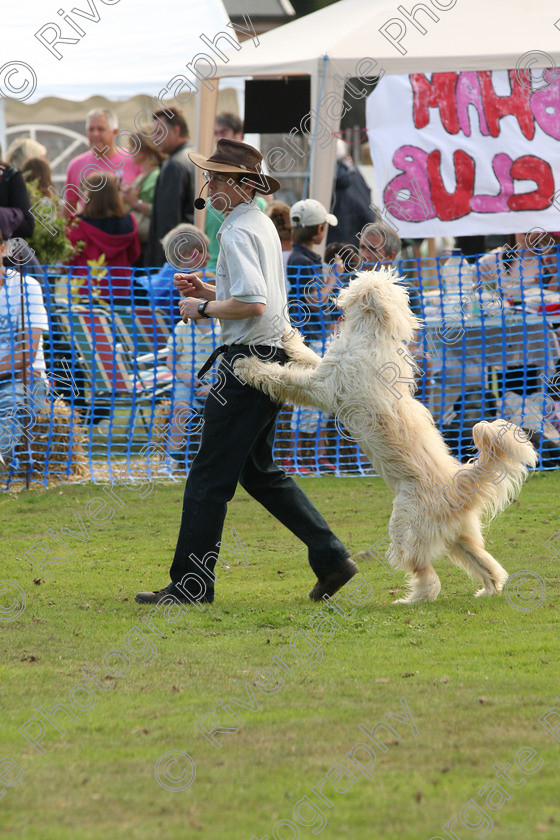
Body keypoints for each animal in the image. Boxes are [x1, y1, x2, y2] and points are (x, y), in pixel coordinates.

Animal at [235, 270, 540, 604]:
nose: (339, 284)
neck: (371, 334)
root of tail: (456, 487)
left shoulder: (321, 388)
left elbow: (285, 377)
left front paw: (248, 366)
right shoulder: (326, 368)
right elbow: (309, 355)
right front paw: (290, 337)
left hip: (406, 529)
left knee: (427, 576)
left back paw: (412, 599)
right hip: (457, 536)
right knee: (486, 564)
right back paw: (488, 589)